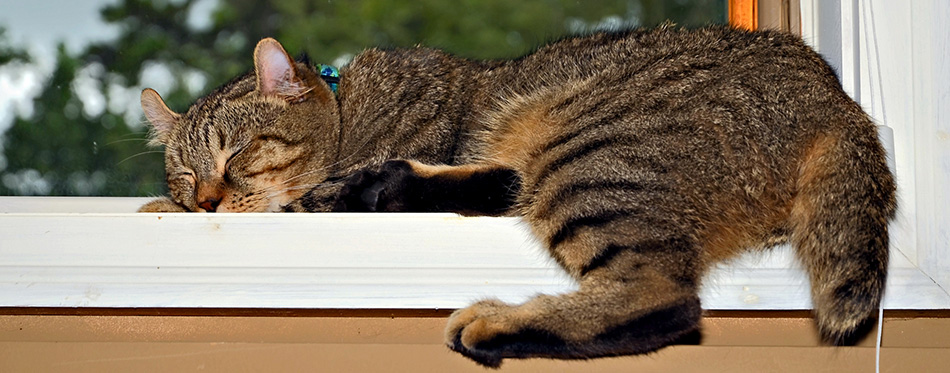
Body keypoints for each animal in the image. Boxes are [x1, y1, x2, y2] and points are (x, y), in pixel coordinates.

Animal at [138, 26, 896, 366]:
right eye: (186, 174)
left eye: (234, 154)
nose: (204, 201)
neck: (350, 111)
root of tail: (834, 99)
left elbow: (302, 198)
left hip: (589, 150)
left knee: (665, 302)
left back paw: (492, 320)